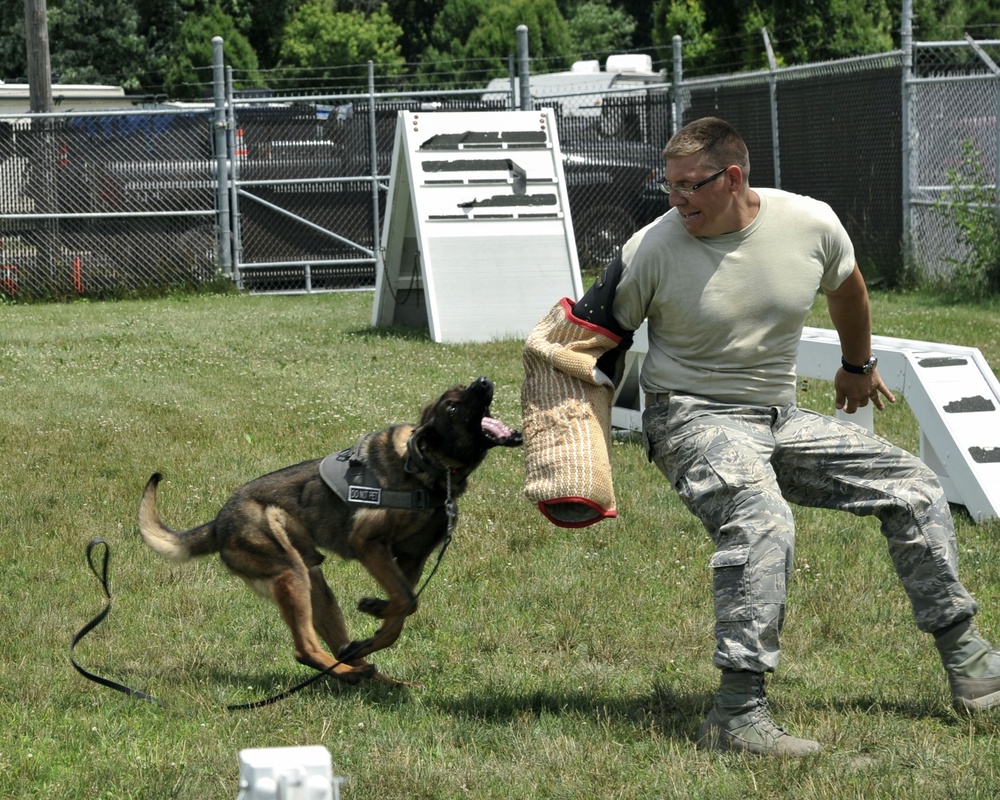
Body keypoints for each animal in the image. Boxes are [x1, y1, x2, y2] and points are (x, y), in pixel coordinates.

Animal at [138, 378, 524, 684]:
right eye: (454, 406)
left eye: (463, 390)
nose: (484, 380)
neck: (428, 468)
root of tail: (219, 524)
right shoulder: (369, 543)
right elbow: (407, 601)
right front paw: (375, 608)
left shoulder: (411, 560)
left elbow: (401, 612)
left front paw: (375, 629)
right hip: (289, 571)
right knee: (304, 649)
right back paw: (352, 672)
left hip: (314, 584)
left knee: (334, 644)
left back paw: (370, 673)